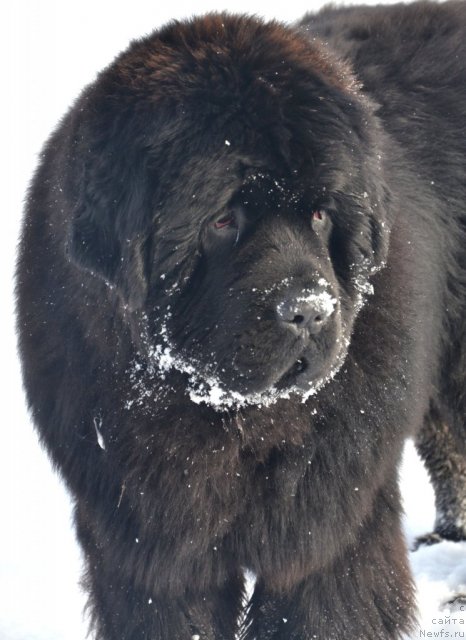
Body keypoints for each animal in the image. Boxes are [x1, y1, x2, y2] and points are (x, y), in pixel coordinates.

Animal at [15, 2, 466, 636]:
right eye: (223, 219)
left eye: (321, 213)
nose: (311, 310)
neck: (226, 419)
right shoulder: (146, 545)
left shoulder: (328, 531)